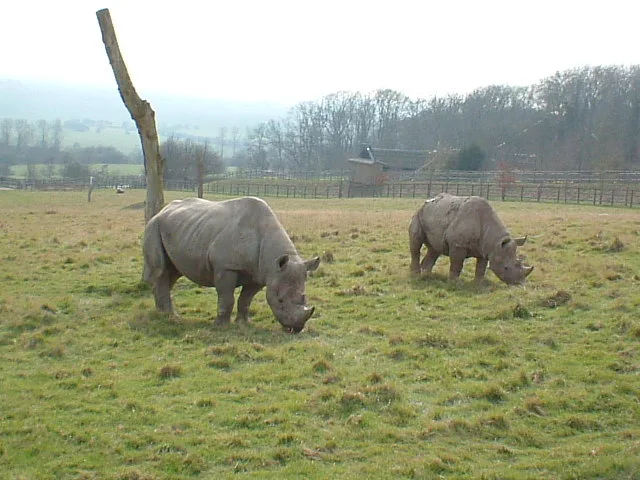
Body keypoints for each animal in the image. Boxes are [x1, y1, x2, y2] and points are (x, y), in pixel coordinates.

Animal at [143, 197, 320, 333]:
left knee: (172, 272)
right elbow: (227, 298)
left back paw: (164, 313)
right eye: (280, 300)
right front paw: (220, 326)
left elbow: (245, 300)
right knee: (161, 270)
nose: (296, 328)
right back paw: (169, 316)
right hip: (153, 226)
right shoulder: (226, 267)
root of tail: (162, 210)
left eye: (304, 297)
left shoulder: (260, 274)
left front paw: (243, 323)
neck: (273, 262)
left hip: (182, 230)